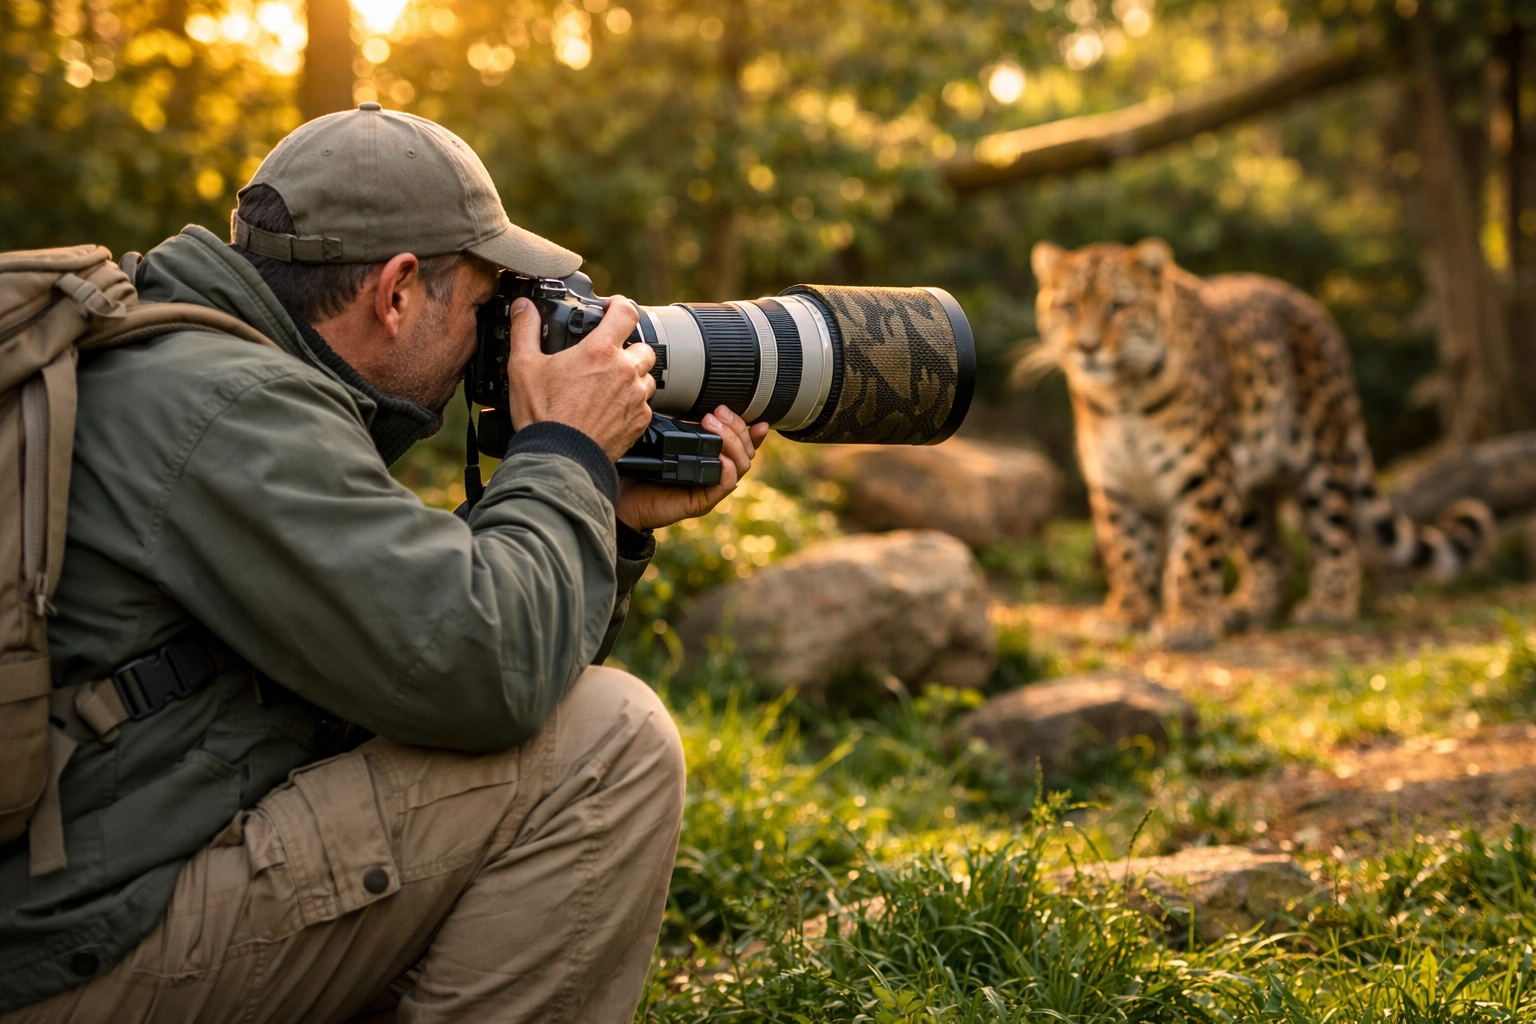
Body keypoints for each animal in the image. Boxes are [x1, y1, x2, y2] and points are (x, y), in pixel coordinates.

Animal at [1022, 237, 1494, 650]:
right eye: (1067, 306)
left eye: (1118, 306)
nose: (1086, 347)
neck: (1121, 396)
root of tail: (1315, 308)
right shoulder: (1114, 481)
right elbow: (1125, 553)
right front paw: (1127, 615)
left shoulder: (1203, 473)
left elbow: (1193, 554)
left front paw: (1187, 623)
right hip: (1248, 487)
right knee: (1275, 554)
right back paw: (1244, 609)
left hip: (1320, 458)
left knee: (1337, 537)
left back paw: (1328, 606)